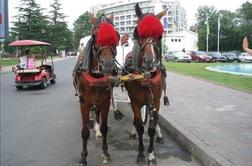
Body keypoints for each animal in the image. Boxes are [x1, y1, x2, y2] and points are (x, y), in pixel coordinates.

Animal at [73, 14, 120, 165]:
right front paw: (83, 157)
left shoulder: (105, 101)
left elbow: (105, 128)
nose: (108, 64)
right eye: (95, 35)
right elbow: (84, 132)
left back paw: (97, 129)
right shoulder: (84, 103)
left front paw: (105, 153)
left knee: (97, 113)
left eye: (116, 35)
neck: (96, 75)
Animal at [123, 3, 168, 165]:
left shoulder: (155, 100)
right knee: (137, 120)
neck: (146, 76)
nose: (150, 62)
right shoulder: (135, 102)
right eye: (138, 33)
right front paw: (141, 153)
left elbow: (152, 128)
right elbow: (140, 127)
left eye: (159, 35)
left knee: (155, 118)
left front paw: (151, 154)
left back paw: (160, 135)